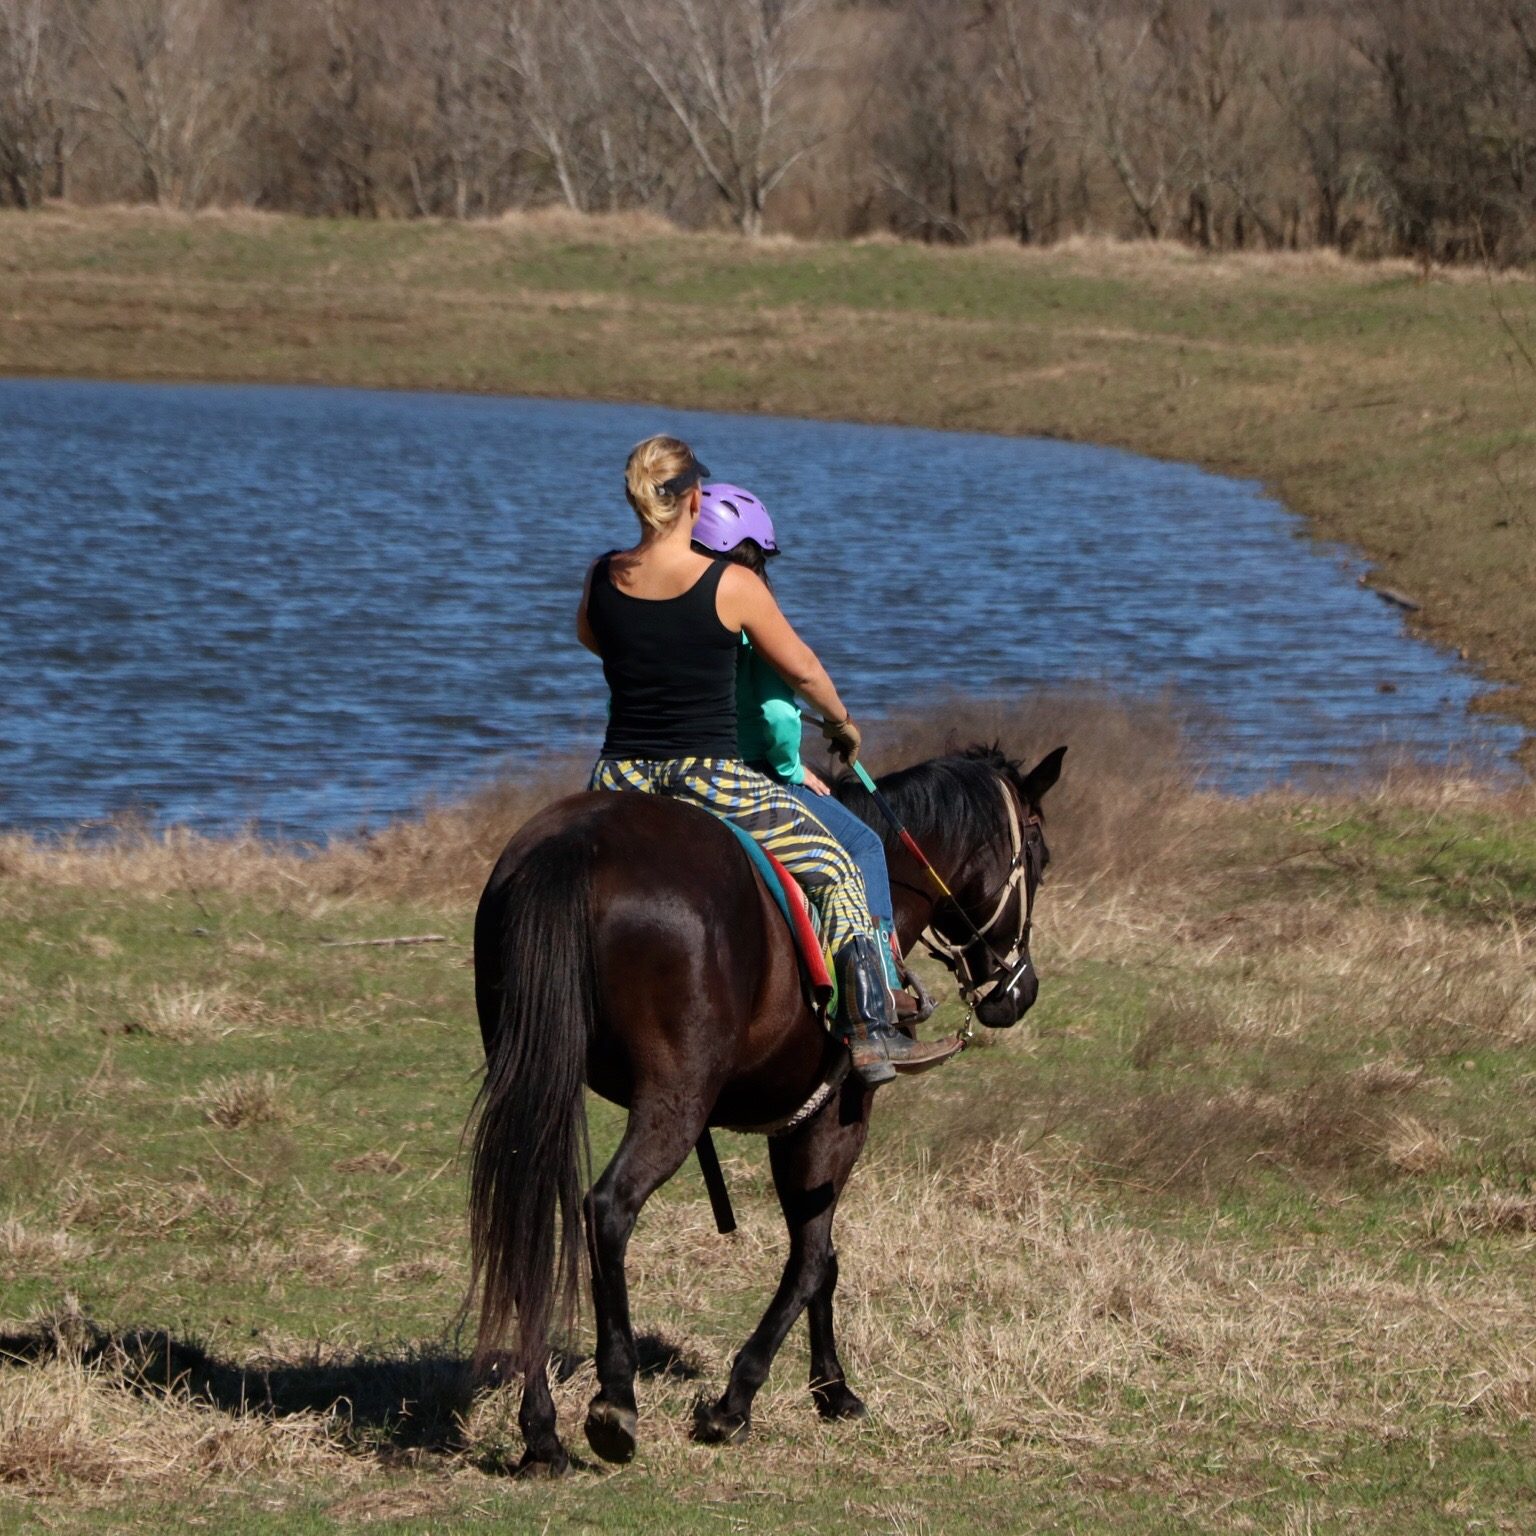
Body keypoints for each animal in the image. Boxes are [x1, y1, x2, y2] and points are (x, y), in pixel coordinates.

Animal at [466, 743, 1069, 1474]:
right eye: (1038, 857)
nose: (1020, 991)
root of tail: (580, 844)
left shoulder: (799, 1122)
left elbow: (823, 1256)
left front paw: (832, 1388)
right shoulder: (834, 1116)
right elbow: (813, 1256)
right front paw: (740, 1399)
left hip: (533, 1077)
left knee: (529, 1212)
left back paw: (542, 1432)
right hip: (676, 1098)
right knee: (606, 1208)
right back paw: (615, 1401)